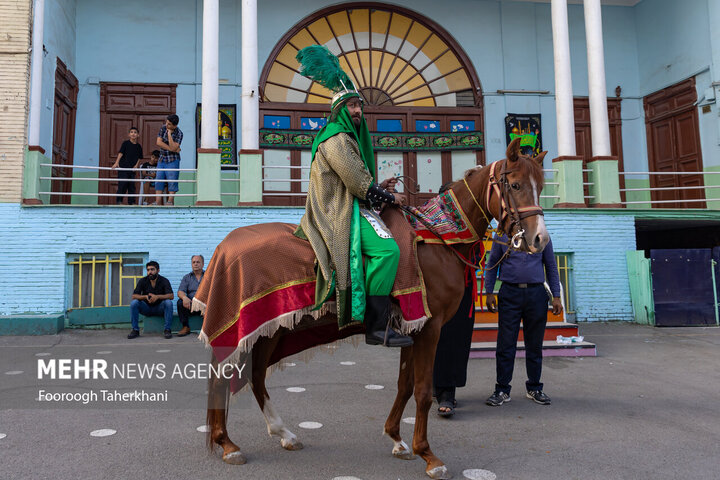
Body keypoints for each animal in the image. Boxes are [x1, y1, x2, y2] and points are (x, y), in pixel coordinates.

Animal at [202, 137, 544, 478]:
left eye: (540, 185)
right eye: (515, 185)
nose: (539, 238)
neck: (439, 240)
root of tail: (224, 248)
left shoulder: (411, 329)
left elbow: (405, 385)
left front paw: (397, 439)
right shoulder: (430, 327)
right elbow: (423, 391)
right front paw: (428, 454)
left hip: (270, 329)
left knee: (255, 375)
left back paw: (282, 433)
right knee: (223, 376)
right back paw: (227, 444)